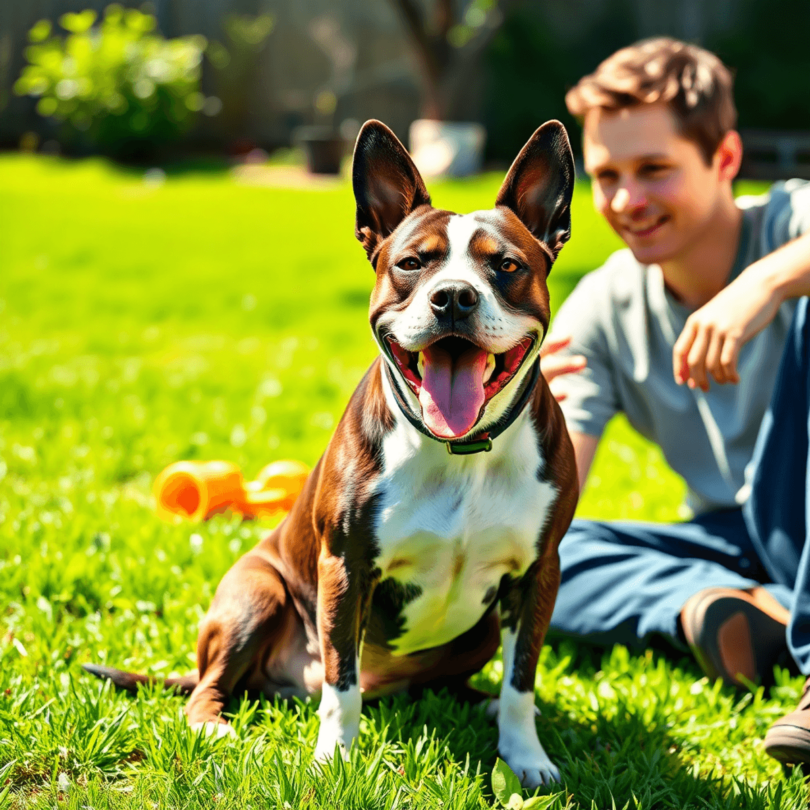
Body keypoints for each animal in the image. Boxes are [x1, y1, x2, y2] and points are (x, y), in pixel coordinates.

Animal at [85, 118, 576, 784]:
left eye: (505, 265)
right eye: (411, 264)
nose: (453, 296)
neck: (461, 454)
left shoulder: (536, 574)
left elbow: (522, 679)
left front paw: (525, 755)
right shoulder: (344, 568)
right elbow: (343, 686)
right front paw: (335, 758)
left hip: (474, 631)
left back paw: (478, 703)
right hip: (255, 593)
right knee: (215, 686)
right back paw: (215, 725)